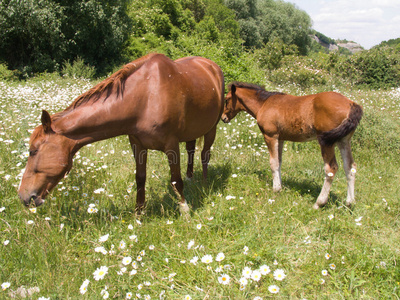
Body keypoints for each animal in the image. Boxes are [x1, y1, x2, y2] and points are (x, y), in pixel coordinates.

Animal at [18, 54, 225, 213]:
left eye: (33, 151)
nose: (23, 196)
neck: (146, 96)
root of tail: (211, 65)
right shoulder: (137, 144)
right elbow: (140, 178)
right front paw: (139, 214)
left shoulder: (171, 145)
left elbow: (175, 180)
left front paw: (184, 210)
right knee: (191, 149)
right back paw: (191, 178)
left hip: (212, 128)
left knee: (204, 155)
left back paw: (204, 184)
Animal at [222, 82, 362, 209]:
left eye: (227, 99)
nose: (223, 118)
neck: (264, 104)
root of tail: (350, 103)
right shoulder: (280, 138)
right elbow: (279, 162)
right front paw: (280, 186)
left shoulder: (270, 136)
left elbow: (273, 163)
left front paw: (276, 189)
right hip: (343, 141)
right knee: (350, 167)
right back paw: (349, 203)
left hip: (326, 142)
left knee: (331, 169)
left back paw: (319, 203)